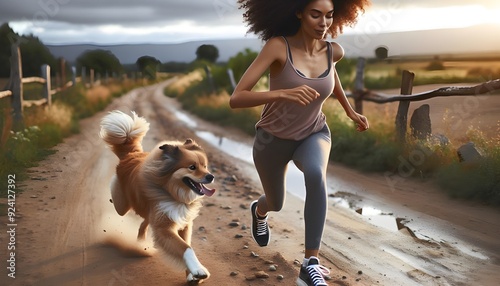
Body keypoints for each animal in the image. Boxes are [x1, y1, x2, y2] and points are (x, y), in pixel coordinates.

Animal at [99, 110, 215, 284]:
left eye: (205, 166)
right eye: (192, 167)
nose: (211, 176)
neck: (172, 192)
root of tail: (132, 154)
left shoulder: (184, 224)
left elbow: (186, 244)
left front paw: (191, 274)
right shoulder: (164, 227)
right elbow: (185, 248)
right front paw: (198, 270)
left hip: (150, 213)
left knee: (143, 224)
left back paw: (140, 242)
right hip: (124, 206)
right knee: (120, 204)